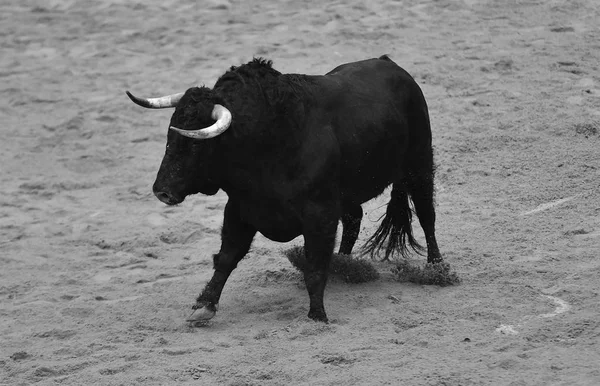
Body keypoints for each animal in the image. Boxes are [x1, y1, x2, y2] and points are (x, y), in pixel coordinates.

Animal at [126, 55, 442, 324]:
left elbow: (315, 265)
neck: (268, 139)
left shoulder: (319, 214)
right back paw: (344, 265)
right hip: (350, 192)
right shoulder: (240, 209)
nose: (162, 191)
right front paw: (204, 306)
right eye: (170, 136)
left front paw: (317, 315)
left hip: (419, 163)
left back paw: (437, 268)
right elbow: (227, 257)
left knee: (426, 213)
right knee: (354, 220)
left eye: (194, 144)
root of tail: (392, 65)